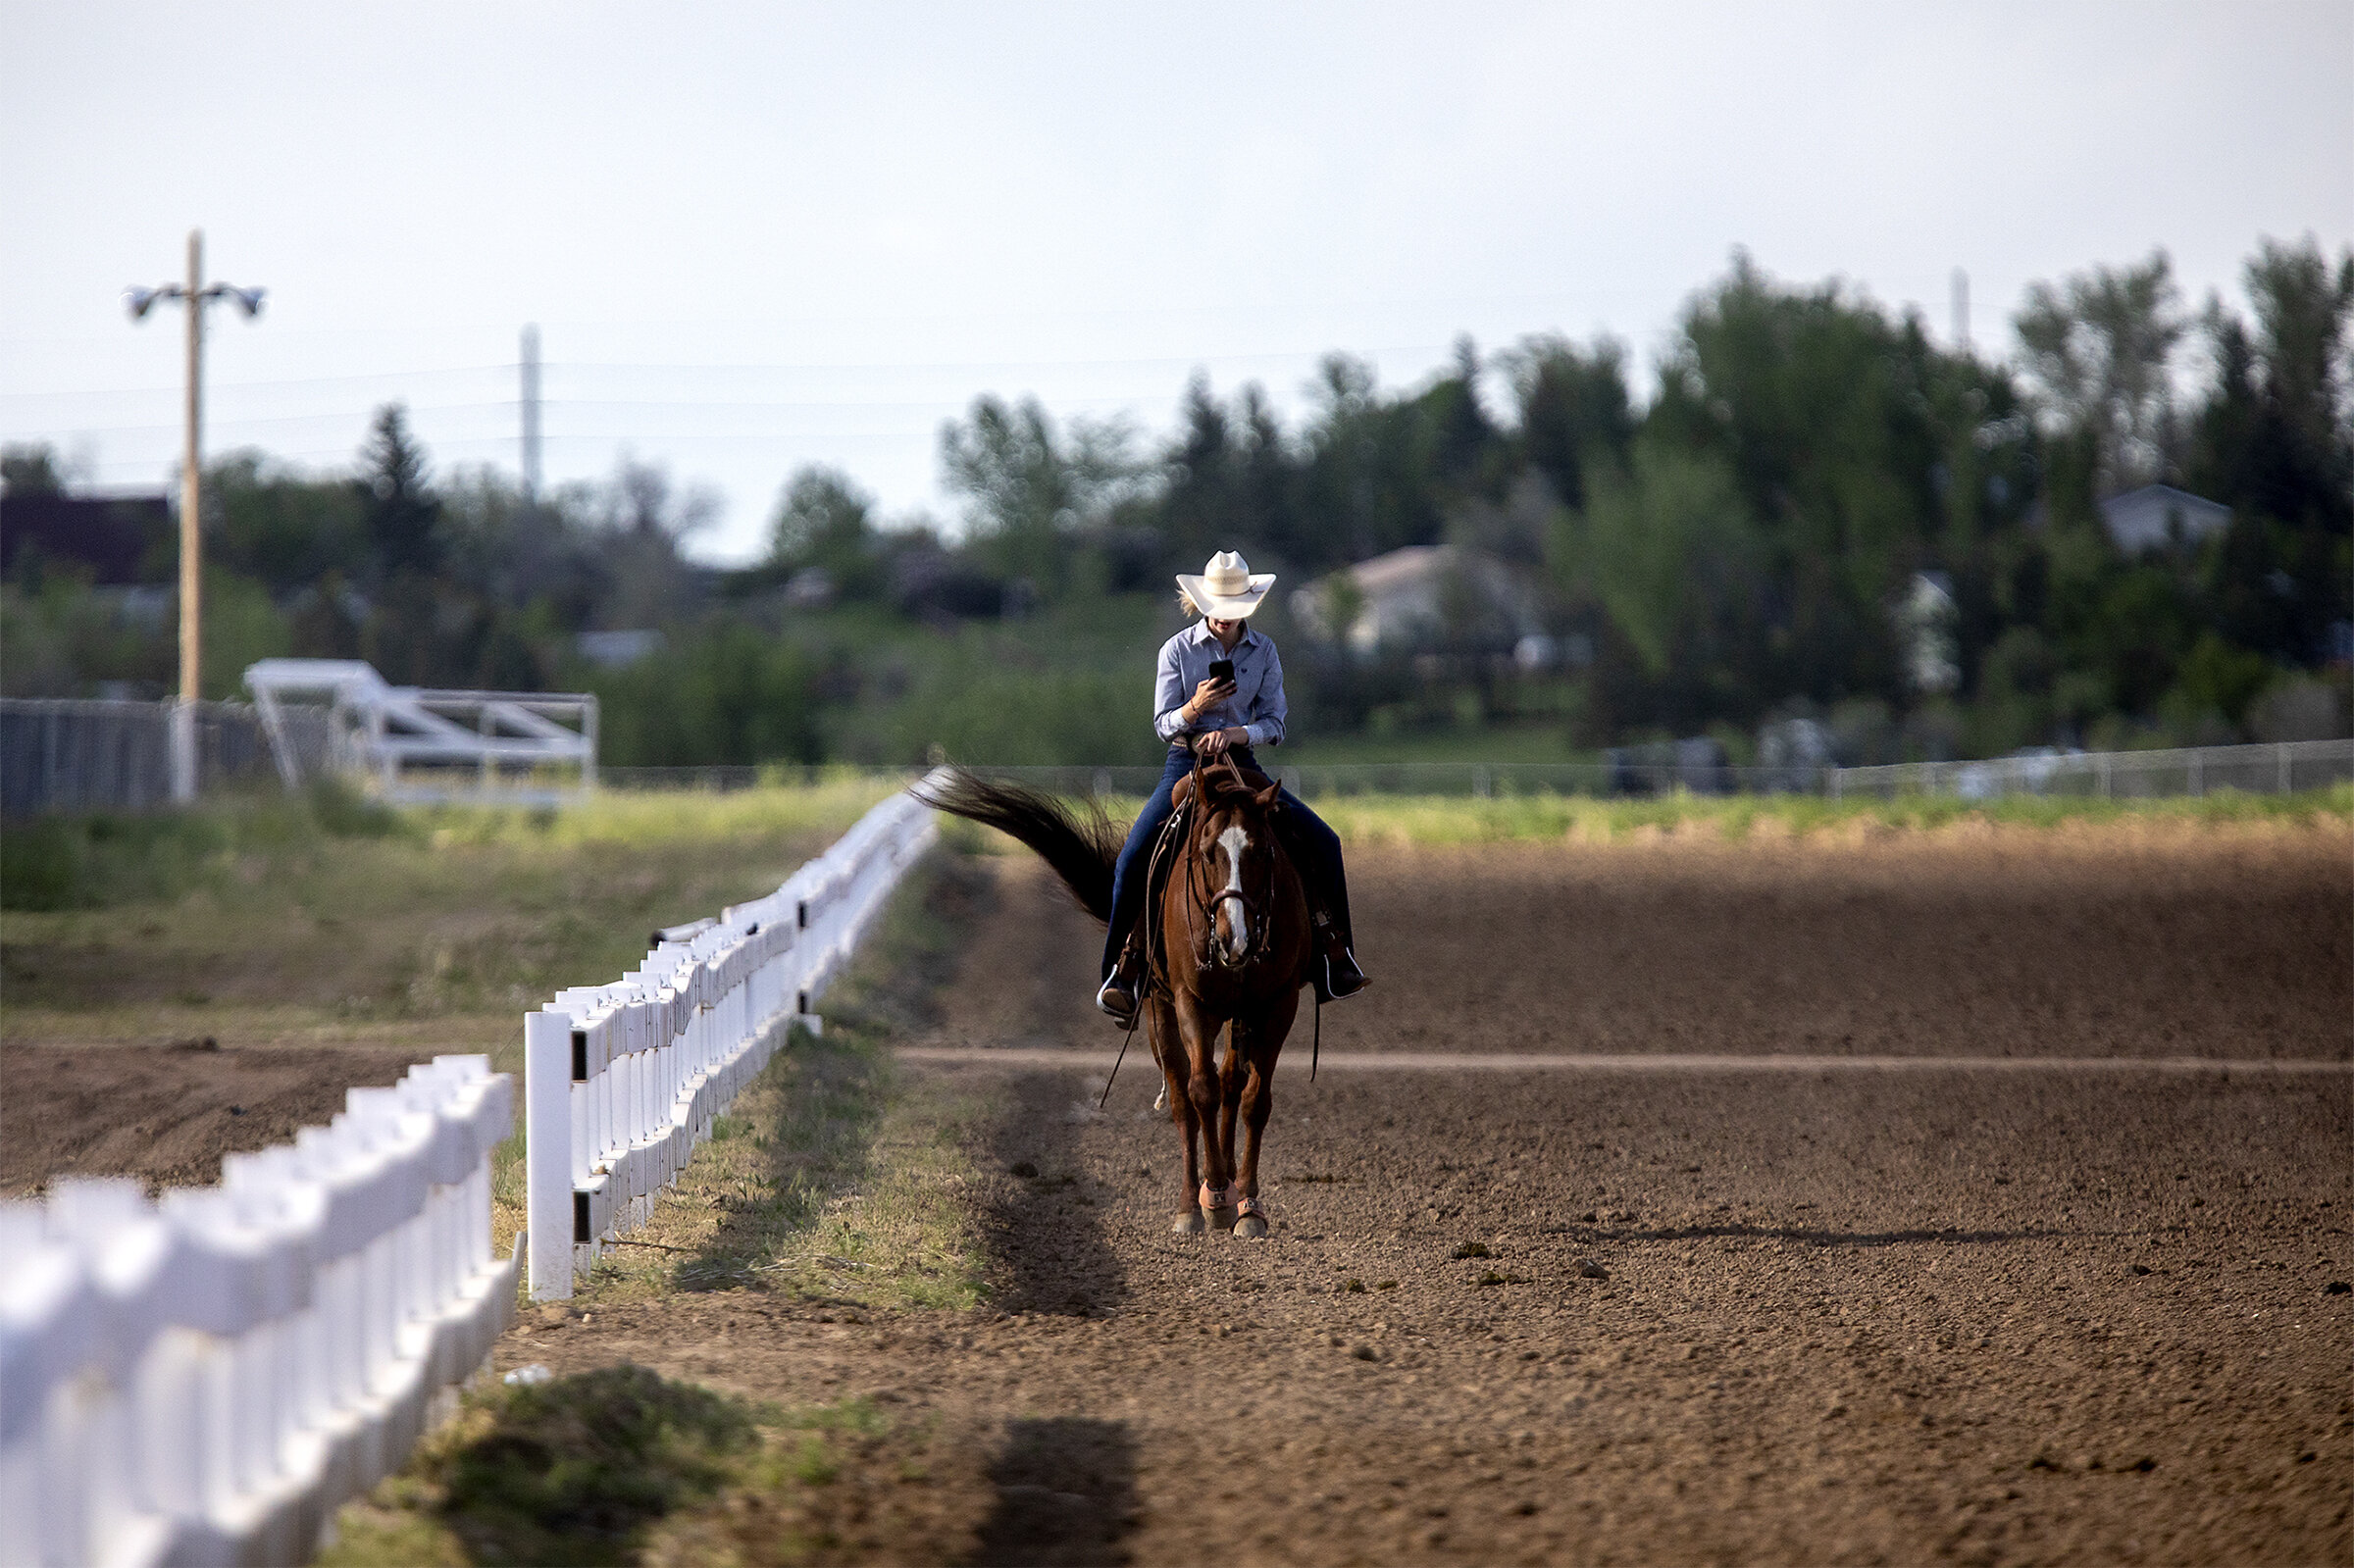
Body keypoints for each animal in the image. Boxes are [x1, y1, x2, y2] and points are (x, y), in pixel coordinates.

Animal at [918, 758, 1318, 1234]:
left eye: (1261, 853)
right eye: (1207, 853)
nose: (1233, 939)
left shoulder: (1277, 1004)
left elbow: (1256, 1100)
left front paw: (1249, 1206)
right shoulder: (1189, 1001)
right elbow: (1199, 1091)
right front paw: (1216, 1198)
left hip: (1237, 1014)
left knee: (1231, 1084)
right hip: (1160, 1009)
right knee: (1183, 1096)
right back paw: (1192, 1202)